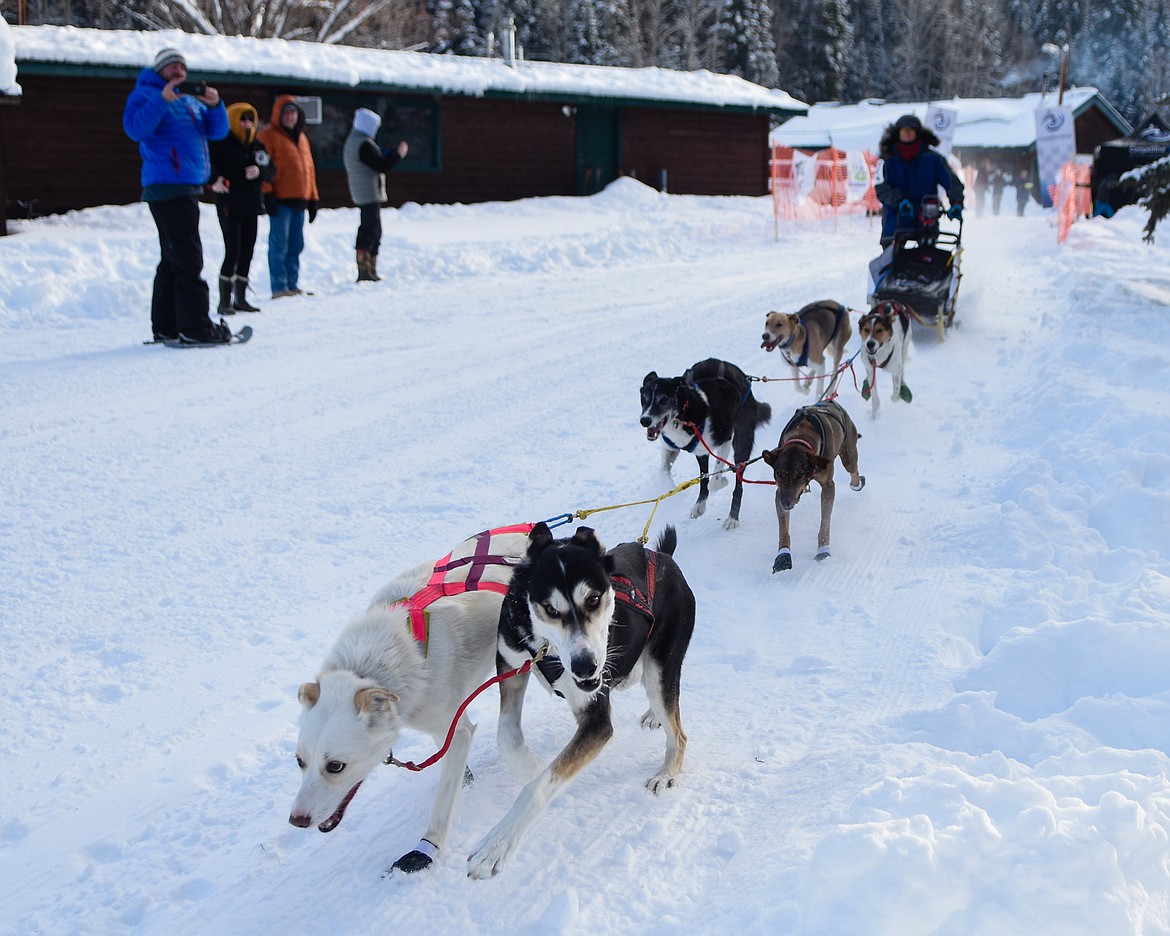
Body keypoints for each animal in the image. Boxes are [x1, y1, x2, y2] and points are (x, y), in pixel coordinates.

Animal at [463, 521, 692, 879]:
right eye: (550, 608)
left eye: (594, 598)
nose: (586, 666)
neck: (547, 647)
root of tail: (662, 557)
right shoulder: (511, 667)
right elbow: (507, 736)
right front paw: (530, 767)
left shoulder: (597, 721)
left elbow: (538, 786)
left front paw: (497, 844)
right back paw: (653, 715)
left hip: (660, 668)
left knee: (678, 732)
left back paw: (667, 771)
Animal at [636, 358, 772, 531]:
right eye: (644, 399)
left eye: (664, 399)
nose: (644, 420)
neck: (684, 414)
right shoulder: (676, 449)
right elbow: (668, 474)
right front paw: (675, 491)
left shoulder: (725, 439)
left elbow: (713, 482)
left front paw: (722, 482)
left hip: (742, 438)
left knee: (738, 482)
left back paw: (732, 517)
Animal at [762, 400, 865, 570]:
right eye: (779, 474)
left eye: (799, 475)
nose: (786, 503)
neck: (801, 436)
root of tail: (830, 400)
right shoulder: (779, 492)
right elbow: (783, 529)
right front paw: (783, 556)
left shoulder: (828, 486)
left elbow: (825, 523)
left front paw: (823, 550)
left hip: (848, 453)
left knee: (853, 470)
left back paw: (857, 483)